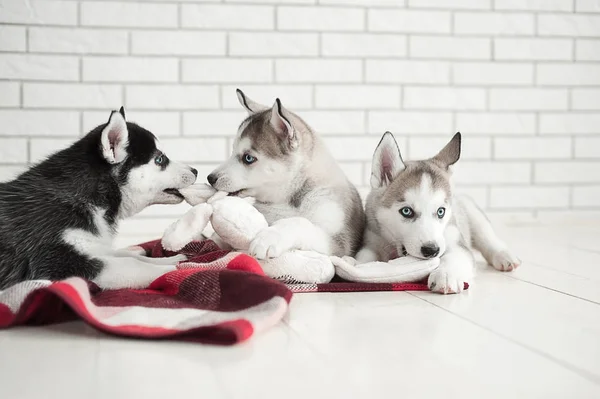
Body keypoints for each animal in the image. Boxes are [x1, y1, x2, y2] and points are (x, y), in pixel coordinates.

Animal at [0, 108, 197, 290]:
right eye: (160, 159)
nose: (195, 170)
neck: (88, 197)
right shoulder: (57, 260)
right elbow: (131, 264)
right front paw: (176, 269)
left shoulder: (94, 246)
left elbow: (125, 255)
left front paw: (168, 259)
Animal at [206, 90, 366, 260]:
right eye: (232, 151)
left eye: (248, 158)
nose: (210, 178)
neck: (289, 200)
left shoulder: (339, 244)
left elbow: (299, 222)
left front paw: (268, 238)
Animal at [356, 133, 520, 296]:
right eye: (406, 211)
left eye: (441, 211)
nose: (431, 250)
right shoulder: (372, 240)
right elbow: (364, 256)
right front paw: (358, 267)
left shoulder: (455, 240)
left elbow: (455, 256)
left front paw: (446, 275)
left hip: (471, 211)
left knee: (487, 237)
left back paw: (504, 256)